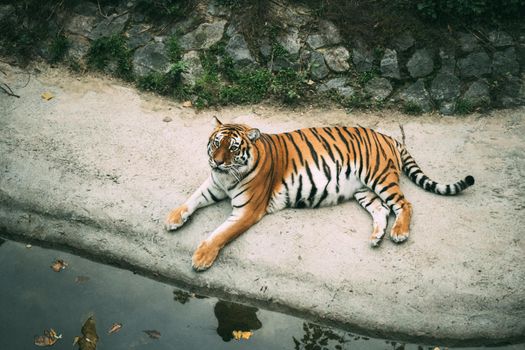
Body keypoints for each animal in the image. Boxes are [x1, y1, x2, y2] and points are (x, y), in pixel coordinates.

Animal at [165, 117, 474, 270]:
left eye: (232, 148)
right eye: (216, 143)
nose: (216, 162)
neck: (226, 176)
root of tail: (388, 136)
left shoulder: (248, 210)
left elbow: (220, 234)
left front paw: (201, 258)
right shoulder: (213, 185)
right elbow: (191, 199)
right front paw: (173, 218)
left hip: (380, 178)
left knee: (404, 204)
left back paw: (399, 233)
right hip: (364, 190)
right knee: (382, 210)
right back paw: (376, 237)